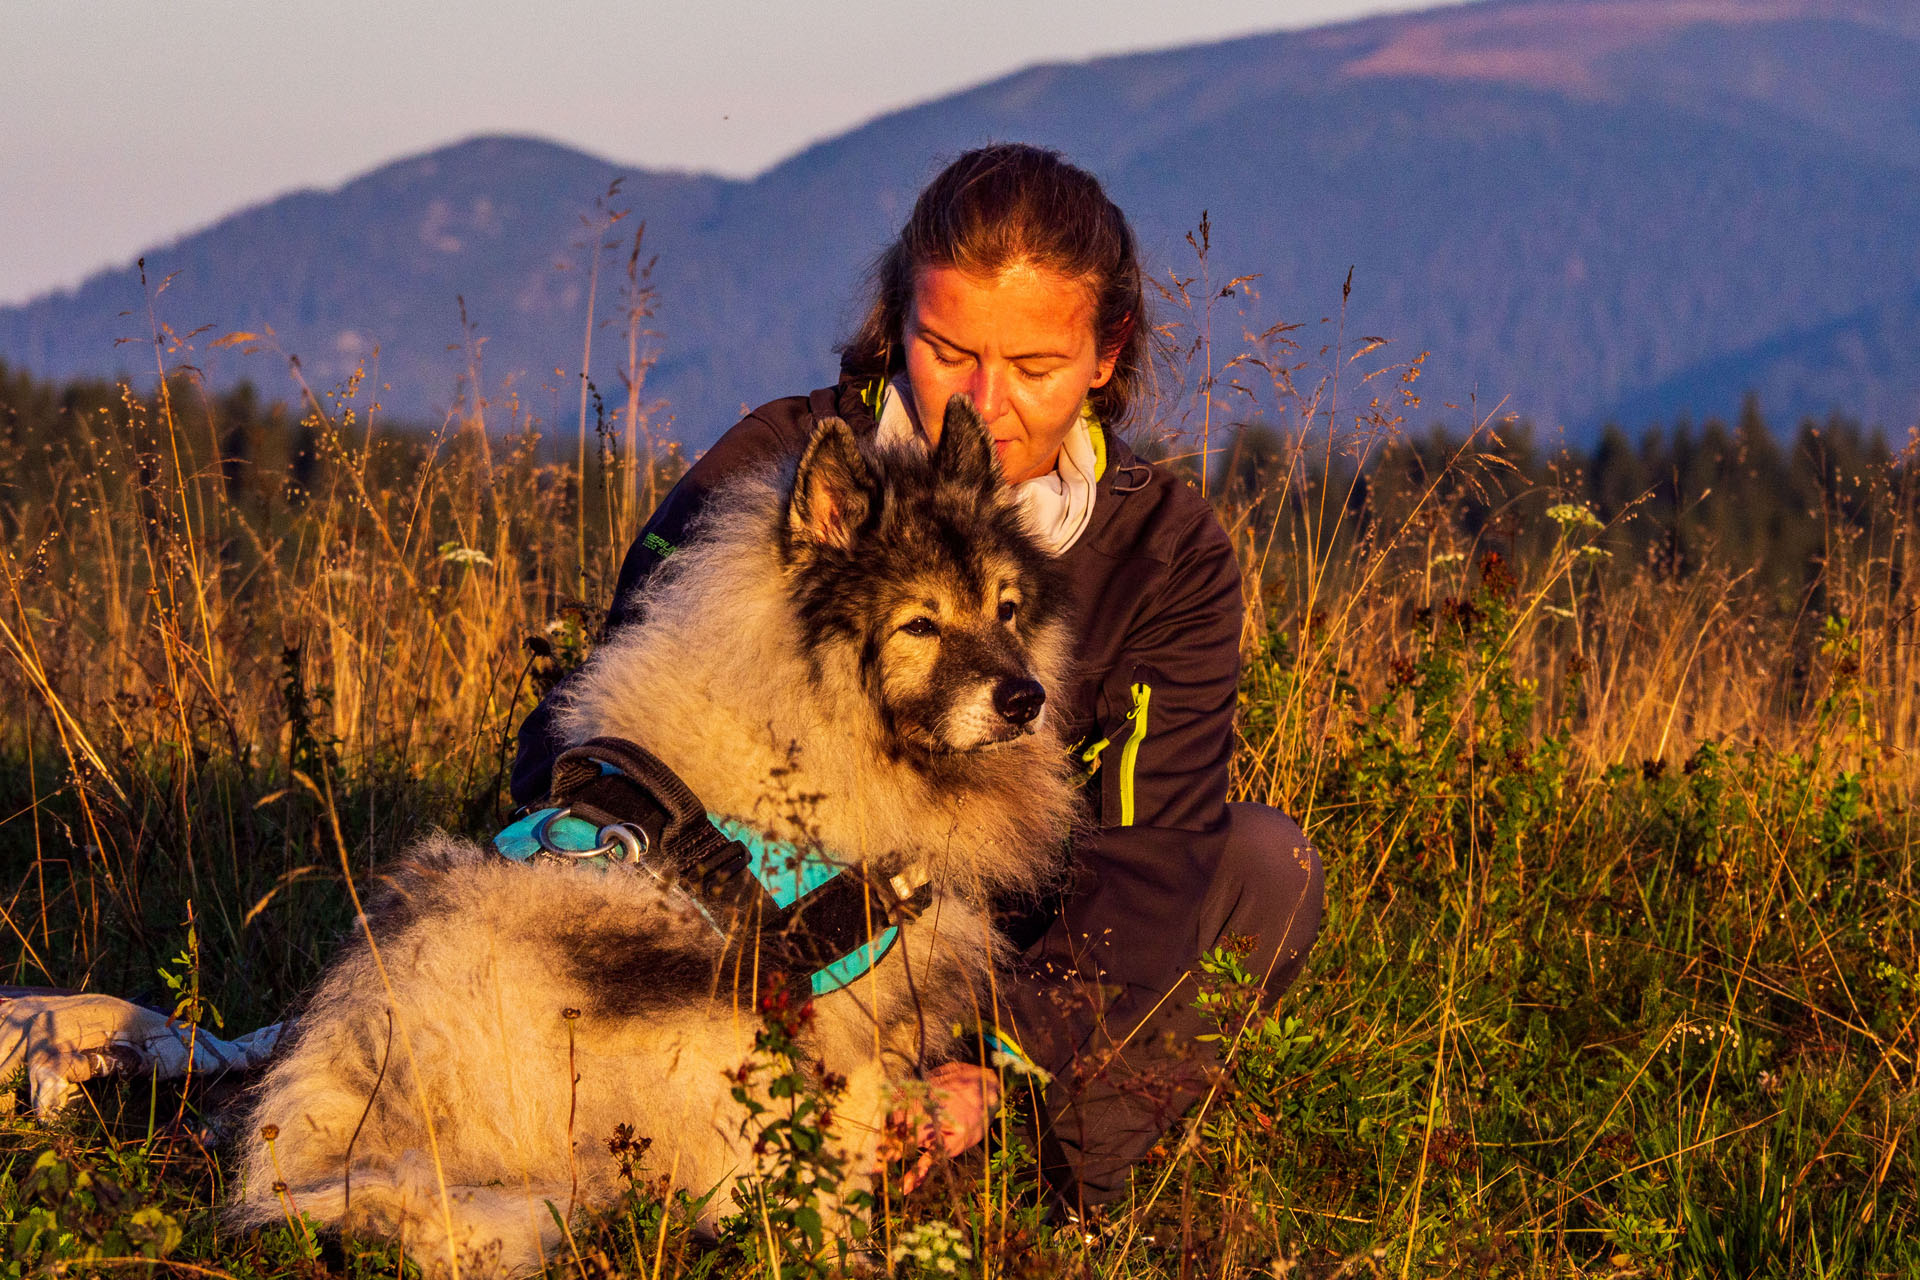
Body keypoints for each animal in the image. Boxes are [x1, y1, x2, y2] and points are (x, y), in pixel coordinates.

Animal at [228, 397, 1082, 1274]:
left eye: (1006, 609)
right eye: (920, 624)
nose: (1026, 698)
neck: (801, 726)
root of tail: (367, 1142)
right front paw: (839, 1249)